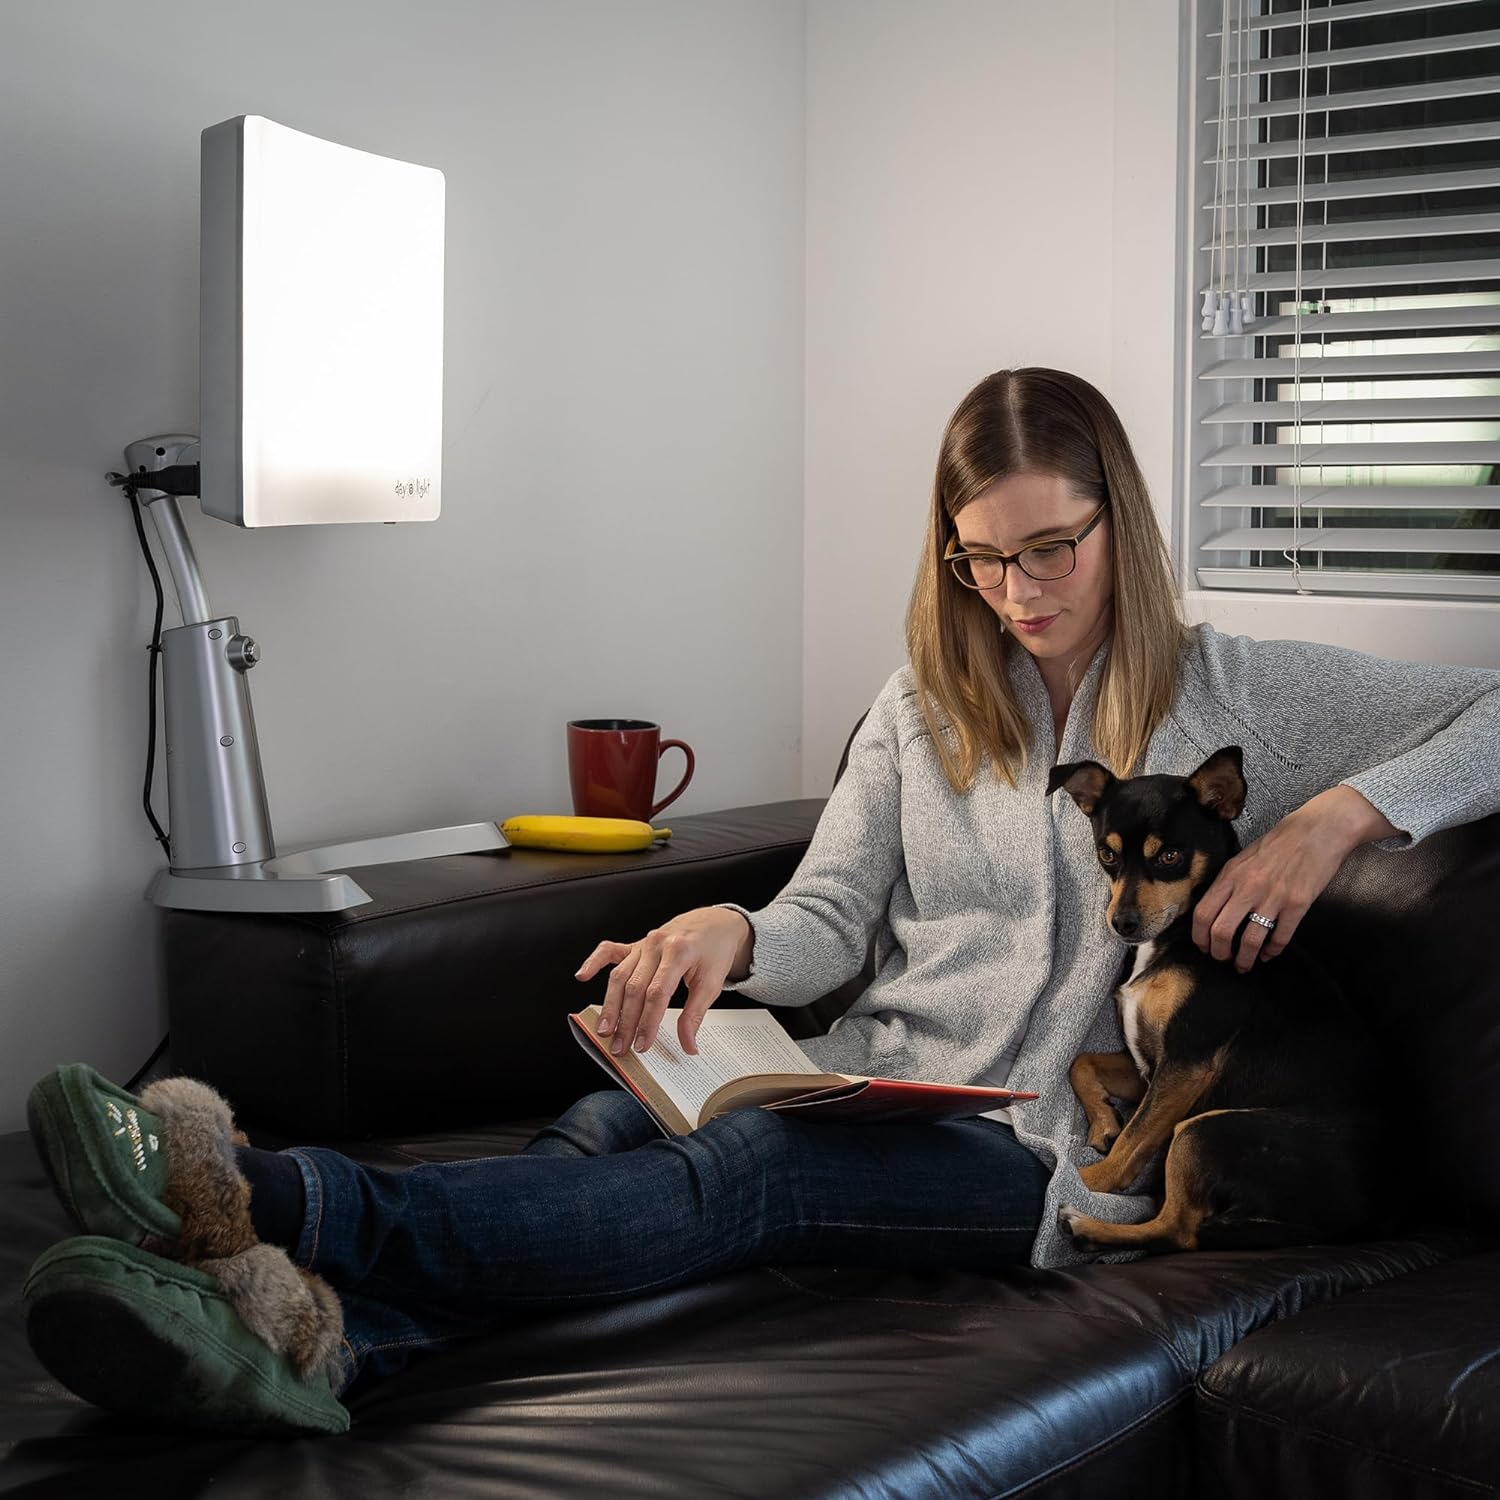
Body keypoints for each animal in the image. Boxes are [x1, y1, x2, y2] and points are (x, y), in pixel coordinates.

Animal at [1044, 747, 1380, 1254]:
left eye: (1170, 856)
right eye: (1107, 854)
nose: (1121, 923)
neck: (1177, 935)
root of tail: (1355, 1225)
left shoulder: (1186, 1063)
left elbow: (1132, 1142)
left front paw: (1085, 1179)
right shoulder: (1153, 1066)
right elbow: (1082, 1062)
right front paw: (1103, 1121)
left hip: (1204, 1129)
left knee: (1180, 1230)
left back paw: (1085, 1223)